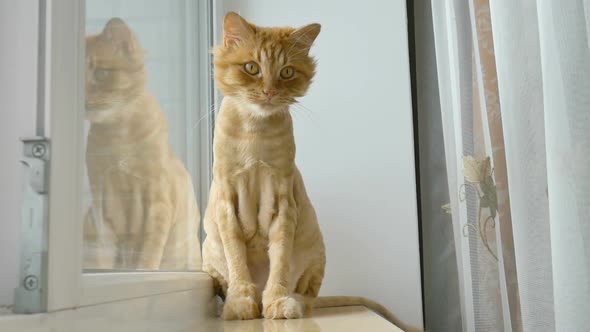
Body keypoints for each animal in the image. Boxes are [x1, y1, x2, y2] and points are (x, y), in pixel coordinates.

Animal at [84, 18, 201, 272]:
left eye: (101, 72)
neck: (118, 138)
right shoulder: (101, 211)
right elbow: (104, 260)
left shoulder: (157, 202)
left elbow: (147, 256)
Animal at [204, 11, 420, 330]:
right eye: (251, 68)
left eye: (286, 72)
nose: (269, 92)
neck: (255, 133)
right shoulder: (226, 202)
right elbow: (237, 263)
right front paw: (240, 304)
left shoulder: (284, 204)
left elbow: (280, 264)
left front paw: (278, 302)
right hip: (209, 251)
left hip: (316, 252)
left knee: (308, 298)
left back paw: (287, 302)